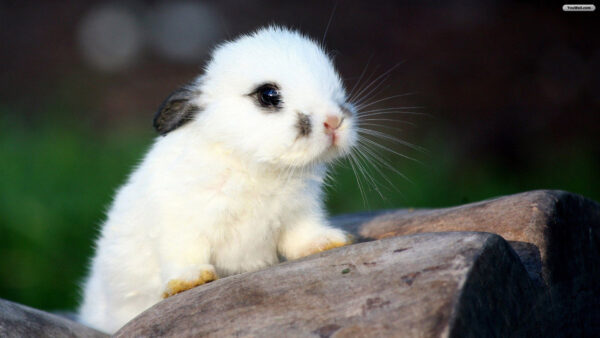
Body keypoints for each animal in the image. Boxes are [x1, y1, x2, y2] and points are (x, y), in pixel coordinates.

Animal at [75, 26, 356, 332]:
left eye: (335, 84)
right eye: (268, 95)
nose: (334, 121)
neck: (254, 166)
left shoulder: (299, 214)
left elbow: (301, 237)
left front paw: (329, 241)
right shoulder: (181, 224)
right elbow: (184, 253)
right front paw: (191, 280)